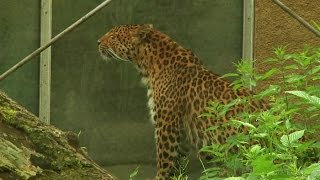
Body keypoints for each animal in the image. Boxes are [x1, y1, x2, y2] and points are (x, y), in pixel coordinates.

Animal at [97, 24, 268, 180]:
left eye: (113, 36)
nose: (98, 42)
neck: (148, 65)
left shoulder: (167, 127)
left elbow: (164, 162)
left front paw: (159, 177)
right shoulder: (183, 137)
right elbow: (177, 166)